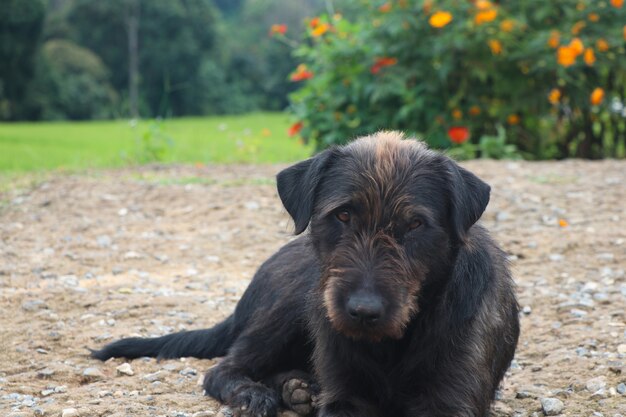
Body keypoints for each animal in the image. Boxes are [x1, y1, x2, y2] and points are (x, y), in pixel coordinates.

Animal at [92, 132, 520, 416]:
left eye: (415, 224)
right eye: (343, 215)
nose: (363, 311)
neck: (392, 343)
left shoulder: (449, 397)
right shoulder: (346, 395)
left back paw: (297, 388)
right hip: (288, 307)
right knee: (224, 368)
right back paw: (259, 393)